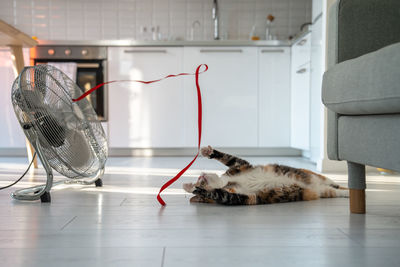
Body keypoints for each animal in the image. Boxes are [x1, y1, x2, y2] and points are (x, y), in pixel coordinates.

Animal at [183, 147, 348, 205]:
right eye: (199, 183)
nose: (200, 178)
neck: (229, 183)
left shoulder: (240, 166)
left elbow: (229, 158)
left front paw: (208, 151)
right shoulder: (244, 197)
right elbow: (219, 193)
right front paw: (190, 188)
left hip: (320, 177)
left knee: (339, 185)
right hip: (327, 191)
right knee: (338, 191)